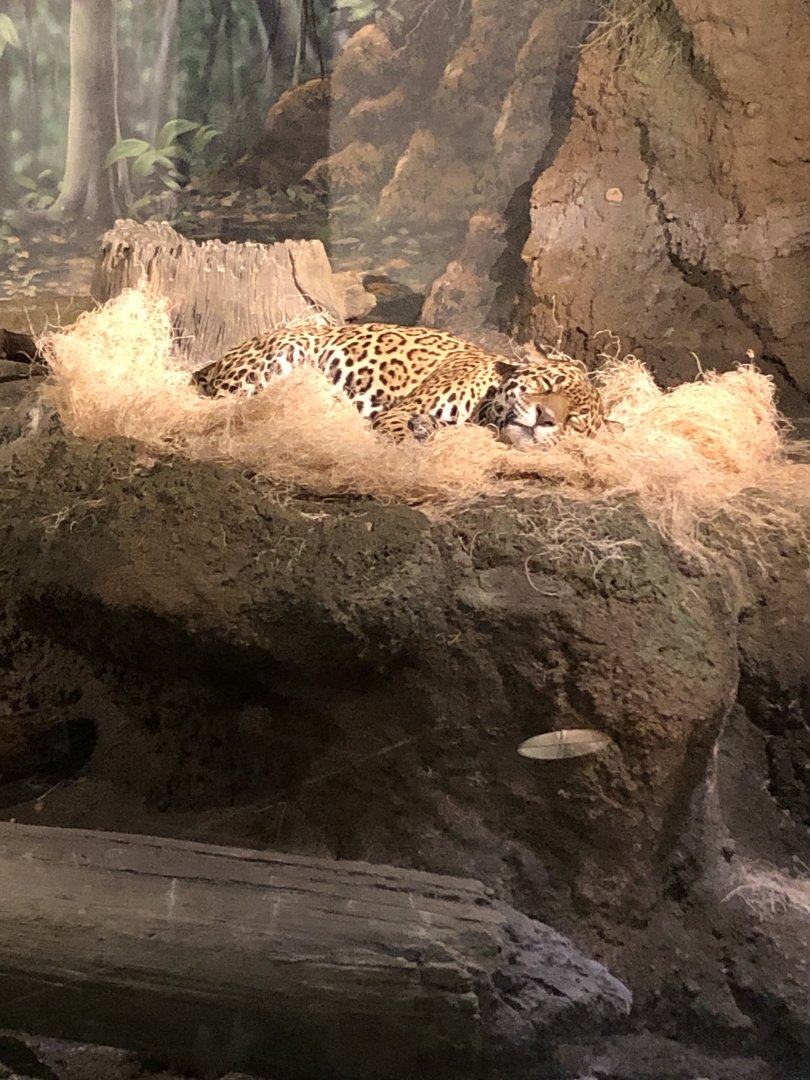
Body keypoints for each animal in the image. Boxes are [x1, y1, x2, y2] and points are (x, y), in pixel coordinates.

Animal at [191, 321, 607, 447]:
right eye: (548, 383)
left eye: (574, 419)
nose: (545, 417)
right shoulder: (398, 414)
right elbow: (406, 444)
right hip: (282, 351)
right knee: (223, 403)